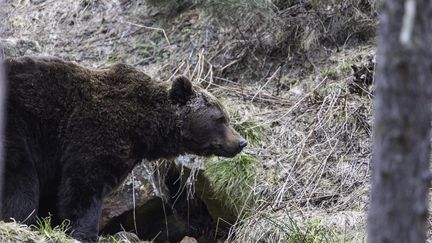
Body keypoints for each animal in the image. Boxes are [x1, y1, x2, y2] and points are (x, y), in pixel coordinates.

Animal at [2, 56, 246, 241]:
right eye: (220, 118)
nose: (241, 142)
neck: (143, 128)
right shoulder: (93, 134)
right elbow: (83, 187)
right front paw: (84, 232)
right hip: (16, 125)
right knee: (20, 178)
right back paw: (21, 219)